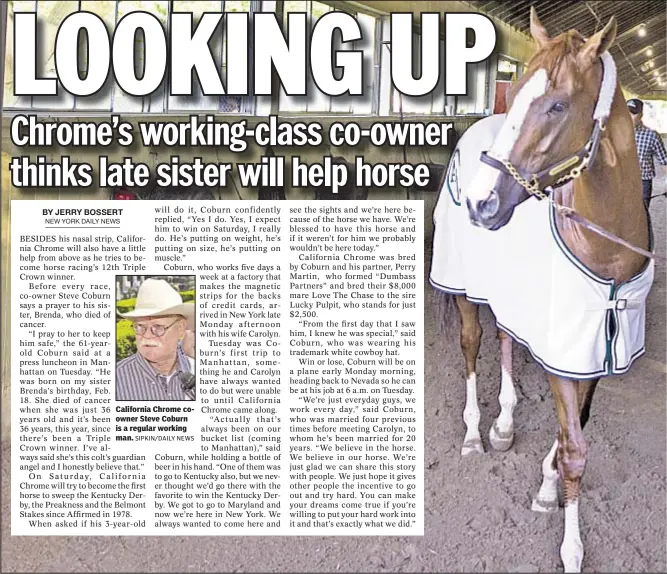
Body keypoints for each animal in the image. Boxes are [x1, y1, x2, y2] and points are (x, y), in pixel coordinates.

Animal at [440, 9, 648, 574]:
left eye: (557, 105)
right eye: (516, 92)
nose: (481, 202)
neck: (606, 247)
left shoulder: (593, 350)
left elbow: (575, 427)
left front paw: (548, 485)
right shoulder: (563, 354)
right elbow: (575, 446)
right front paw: (571, 549)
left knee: (507, 341)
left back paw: (505, 424)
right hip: (462, 286)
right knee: (473, 346)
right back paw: (475, 433)